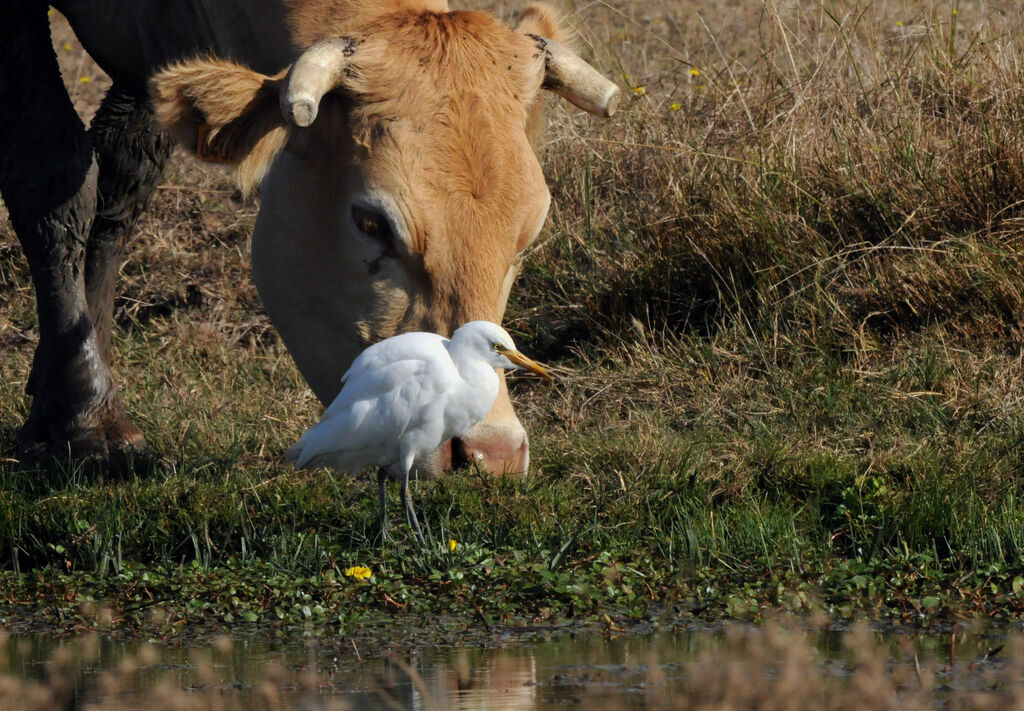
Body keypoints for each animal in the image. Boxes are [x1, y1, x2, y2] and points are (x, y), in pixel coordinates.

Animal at [0, 1, 614, 479]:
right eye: (371, 223)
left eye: (528, 234)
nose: (489, 453)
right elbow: (58, 174)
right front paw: (86, 420)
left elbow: (121, 183)